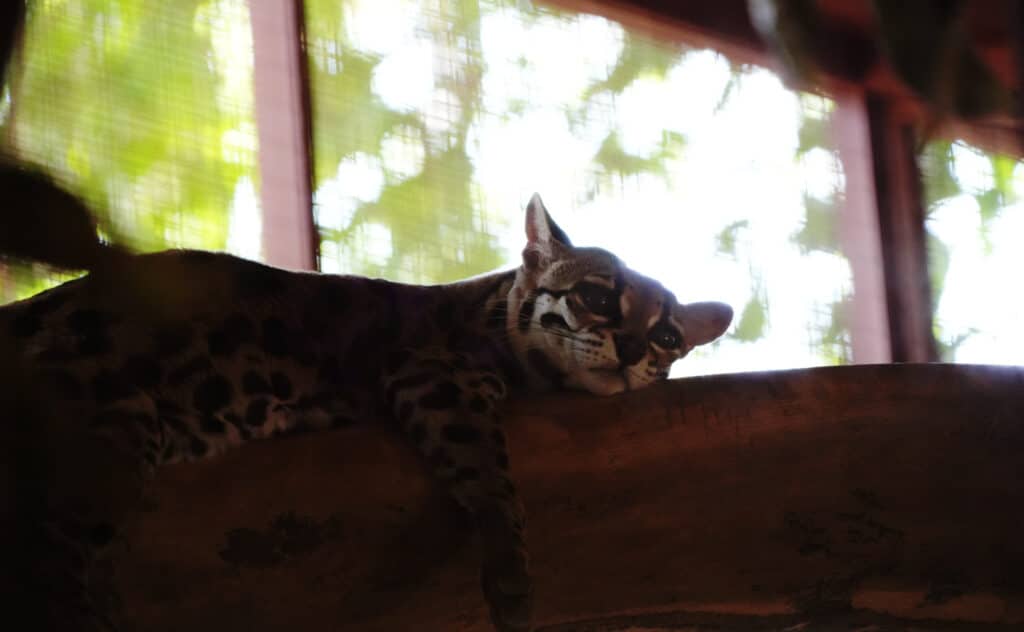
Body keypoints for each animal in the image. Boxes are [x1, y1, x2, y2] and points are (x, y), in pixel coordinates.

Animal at [0, 166, 733, 632]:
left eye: (667, 335)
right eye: (597, 297)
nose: (633, 351)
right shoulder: (434, 373)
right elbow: (492, 477)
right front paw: (511, 575)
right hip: (109, 422)